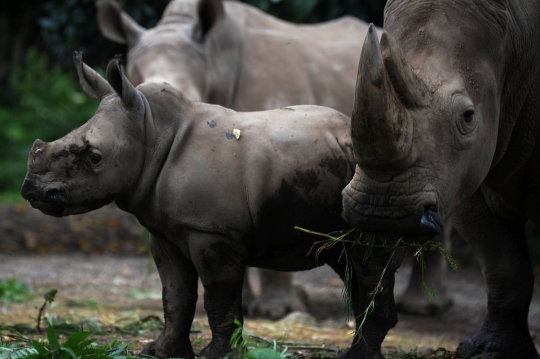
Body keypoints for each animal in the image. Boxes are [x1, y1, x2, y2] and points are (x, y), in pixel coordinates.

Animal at [21, 53, 362, 359]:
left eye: (95, 158)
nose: (32, 191)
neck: (151, 129)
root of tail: (349, 130)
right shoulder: (165, 231)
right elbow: (176, 295)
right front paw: (160, 352)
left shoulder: (212, 231)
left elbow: (218, 296)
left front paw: (217, 355)